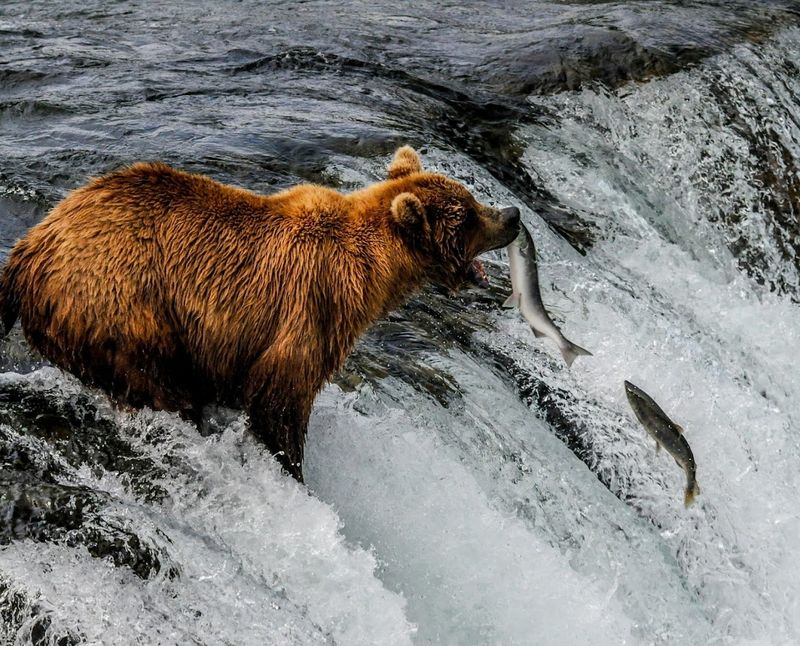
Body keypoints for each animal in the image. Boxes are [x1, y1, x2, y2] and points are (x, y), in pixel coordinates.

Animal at [0, 146, 520, 481]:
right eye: (467, 215)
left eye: (470, 196)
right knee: (158, 381)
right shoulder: (310, 308)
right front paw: (293, 469)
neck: (373, 272)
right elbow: (280, 401)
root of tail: (30, 246)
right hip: (122, 306)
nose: (513, 215)